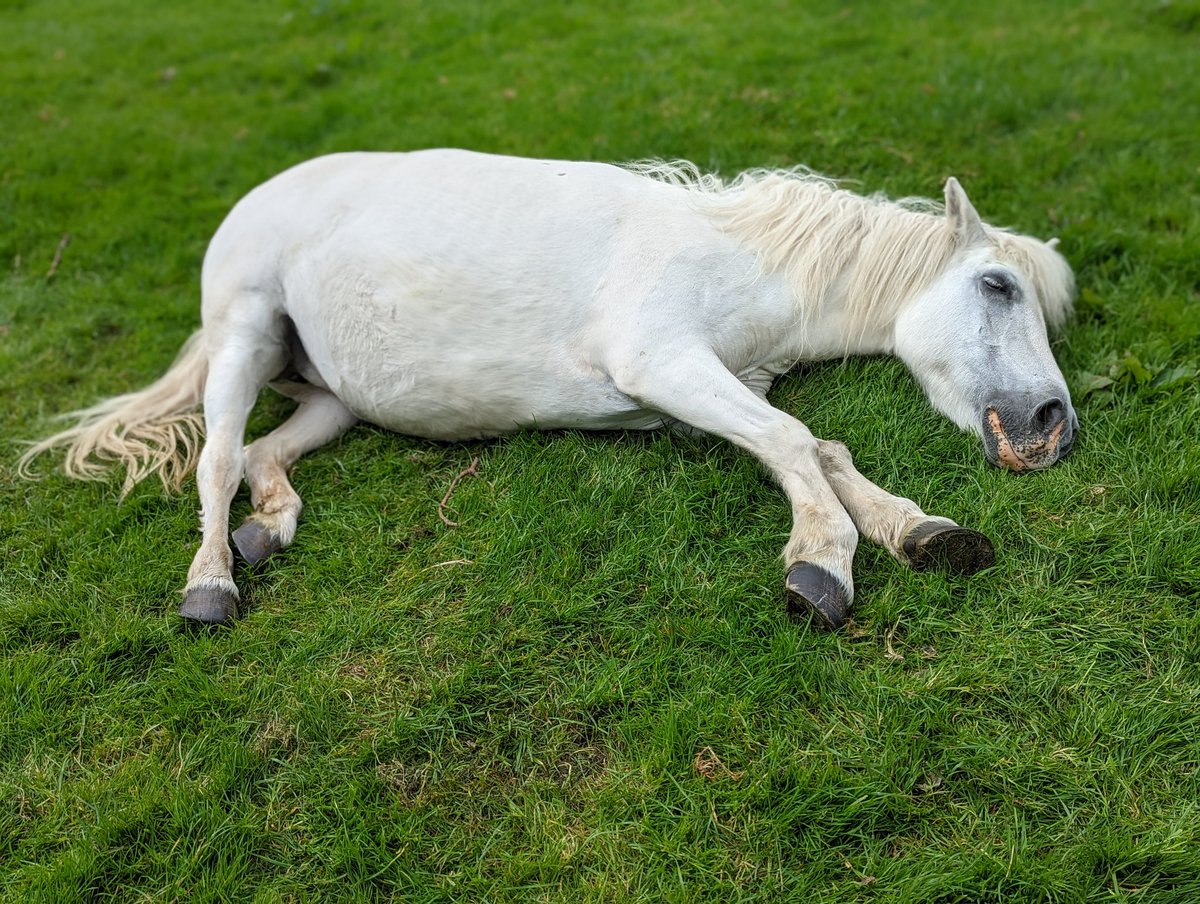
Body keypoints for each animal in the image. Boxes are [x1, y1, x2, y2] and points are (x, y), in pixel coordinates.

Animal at [19, 150, 1077, 629]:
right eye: (998, 285)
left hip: (330, 398)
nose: (1053, 427)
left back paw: (267, 529)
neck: (743, 261)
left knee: (262, 458)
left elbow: (815, 446)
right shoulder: (665, 367)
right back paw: (211, 584)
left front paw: (924, 531)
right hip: (242, 336)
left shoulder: (711, 391)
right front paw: (823, 564)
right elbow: (792, 444)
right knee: (214, 462)